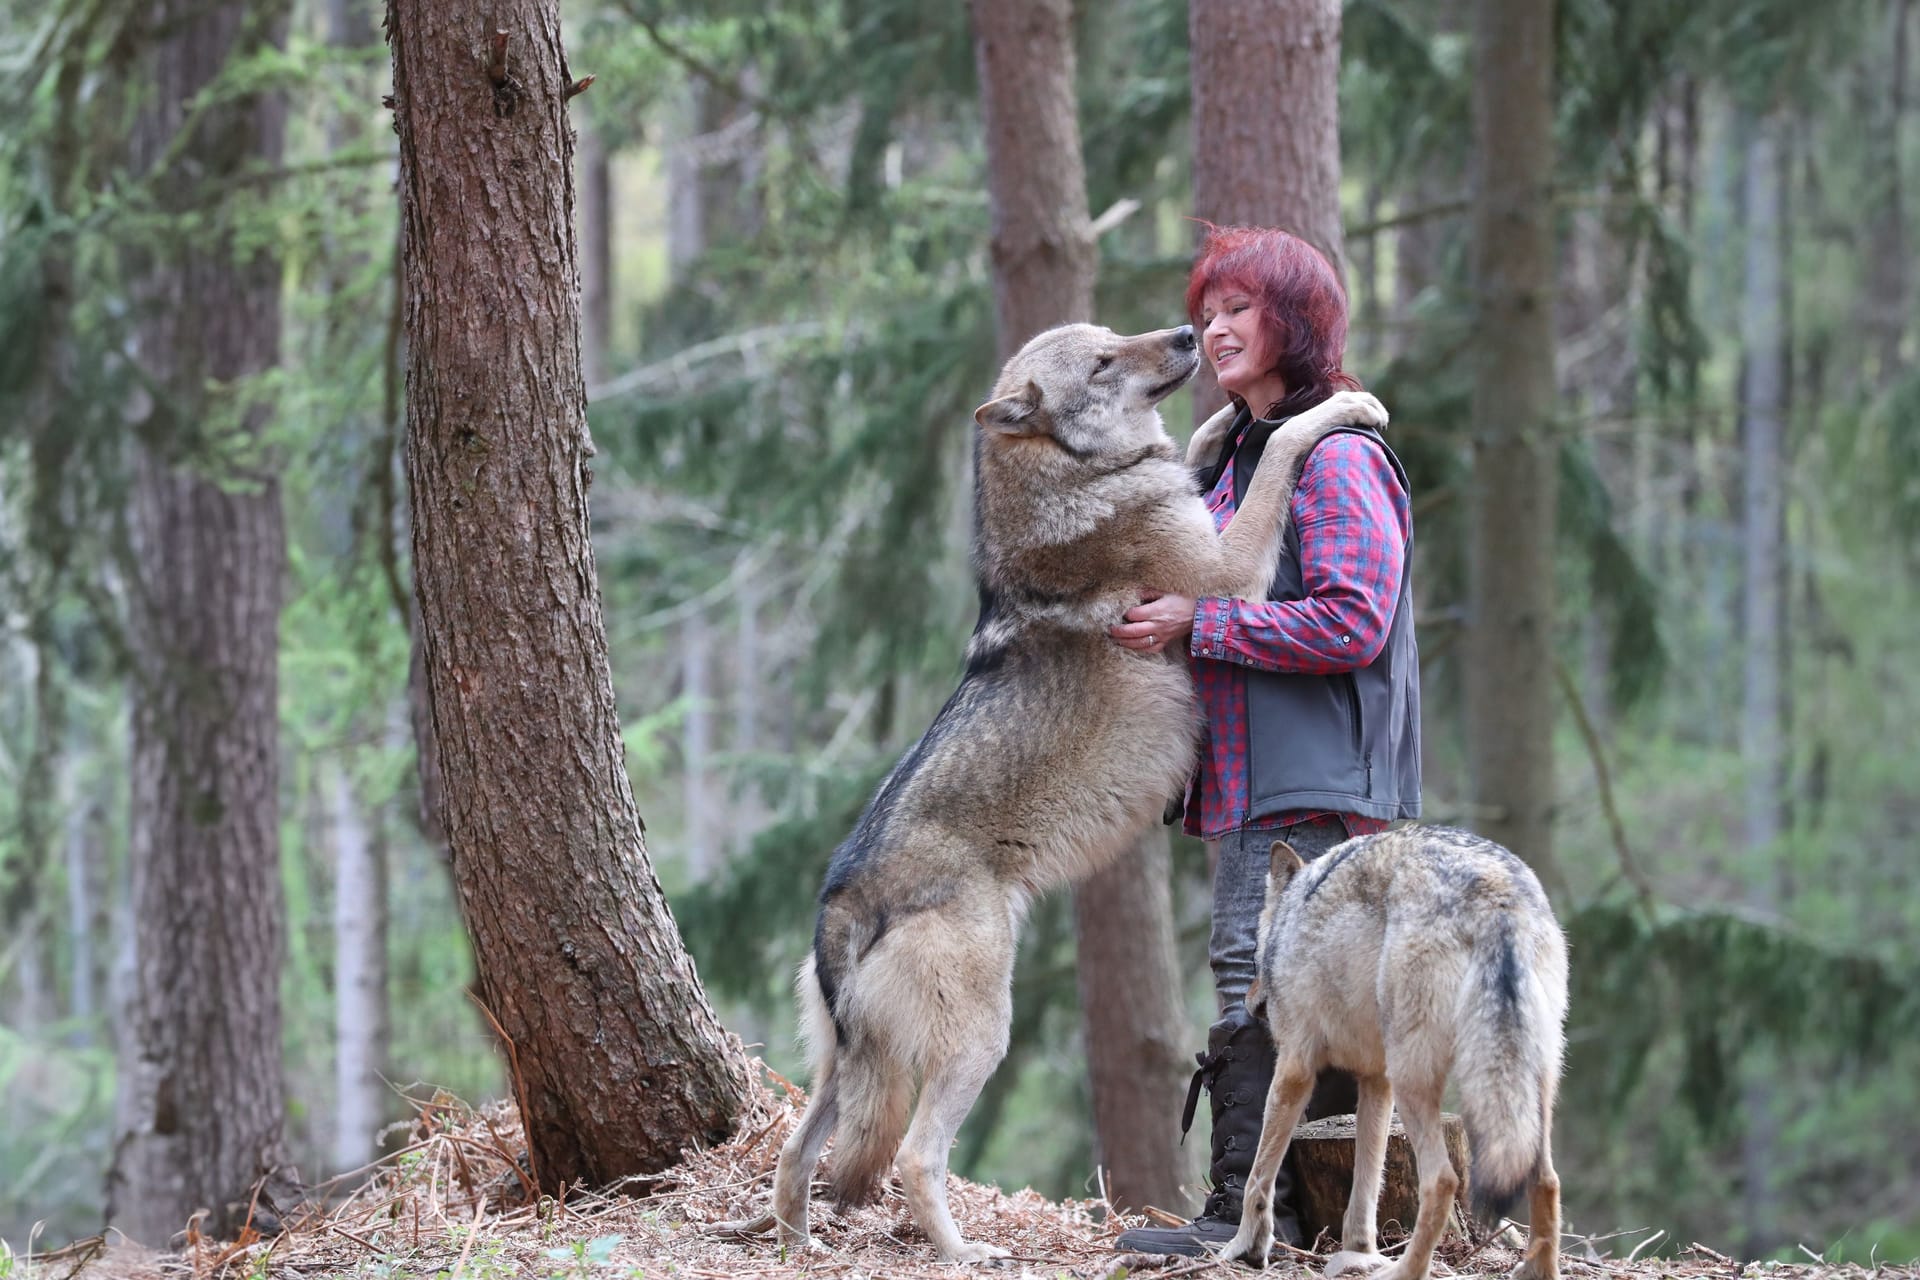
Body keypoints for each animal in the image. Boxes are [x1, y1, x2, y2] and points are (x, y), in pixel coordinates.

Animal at [714, 326, 1390, 1266]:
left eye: (1117, 338)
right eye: (1102, 363)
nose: (1189, 334)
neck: (1072, 478)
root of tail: (842, 897)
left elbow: (1206, 449)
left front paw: (1224, 420)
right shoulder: (1228, 575)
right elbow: (1288, 448)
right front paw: (1341, 406)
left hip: (846, 1069)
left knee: (796, 1153)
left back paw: (801, 1245)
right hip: (978, 1039)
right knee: (915, 1158)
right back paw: (965, 1255)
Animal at [1221, 825, 1566, 1280]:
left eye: (1254, 957)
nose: (1250, 1004)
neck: (1291, 917)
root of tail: (1494, 891)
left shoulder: (1295, 1068)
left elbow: (1257, 1176)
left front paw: (1244, 1246)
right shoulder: (1375, 1081)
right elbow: (1365, 1187)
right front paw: (1359, 1253)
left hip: (1413, 1080)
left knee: (1442, 1181)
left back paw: (1403, 1272)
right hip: (1527, 1087)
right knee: (1547, 1179)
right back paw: (1535, 1271)